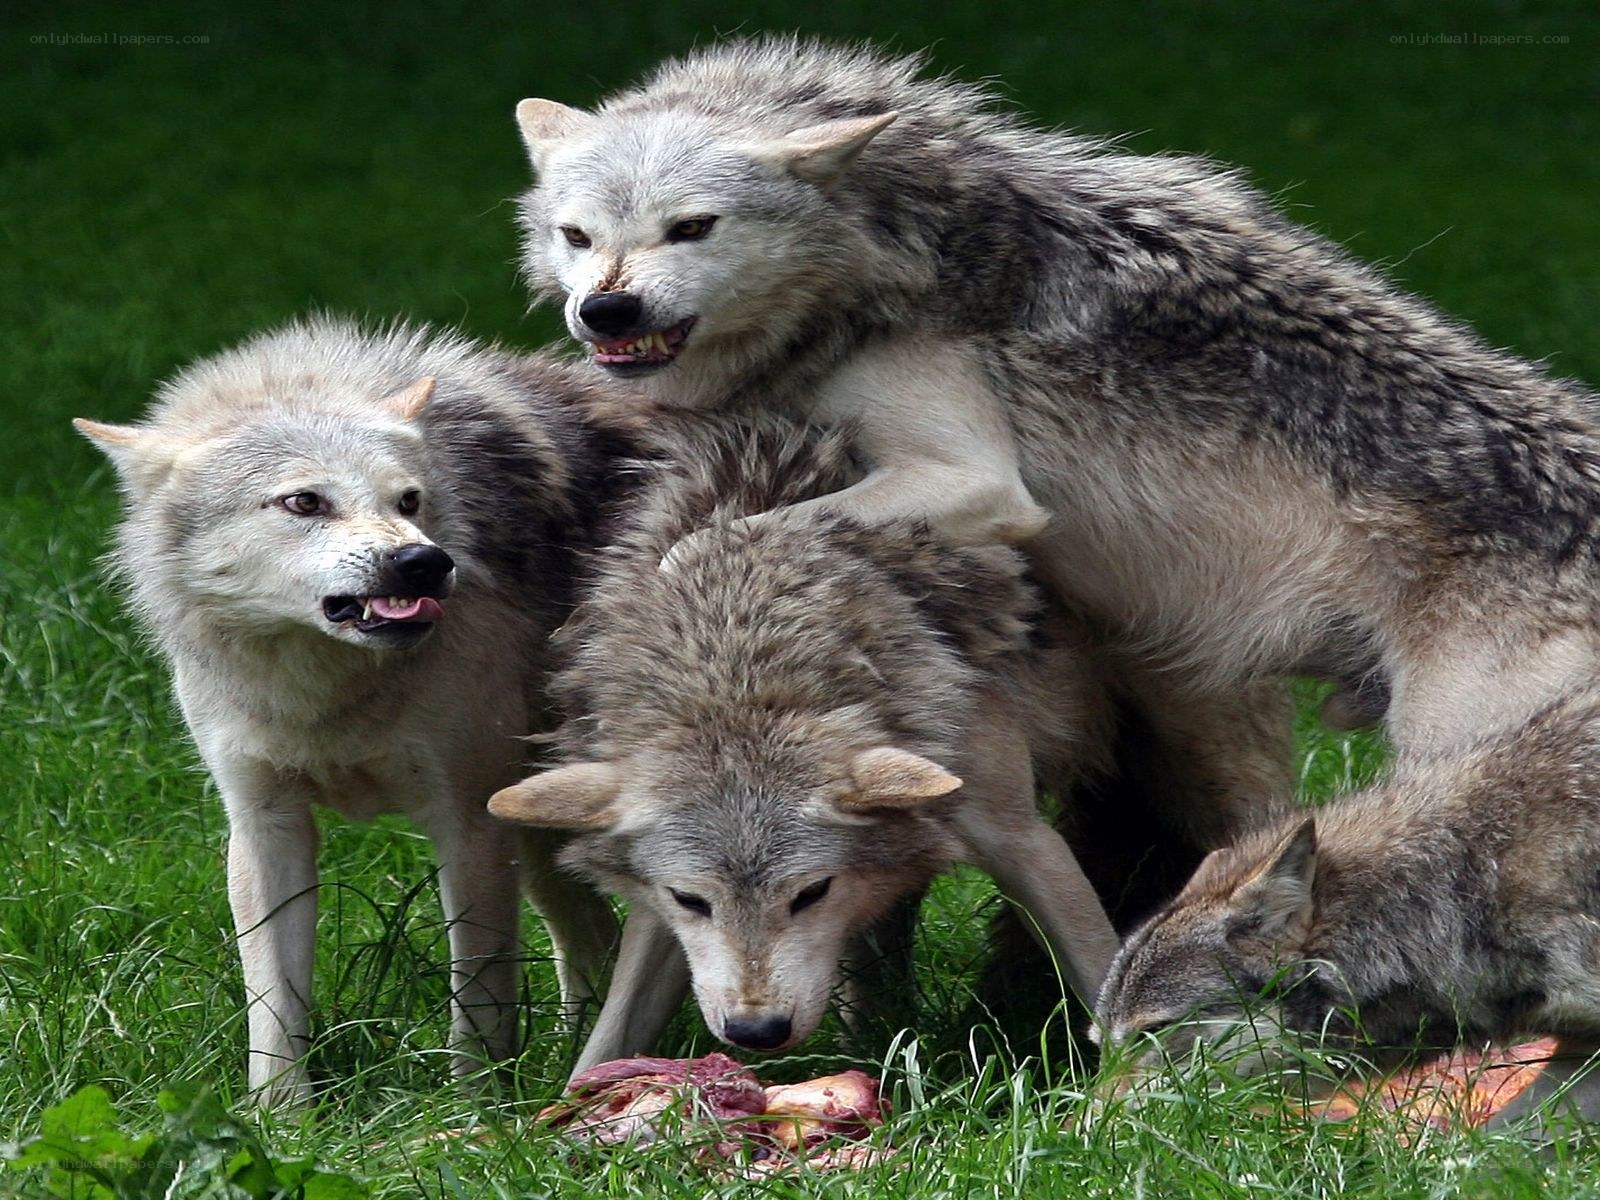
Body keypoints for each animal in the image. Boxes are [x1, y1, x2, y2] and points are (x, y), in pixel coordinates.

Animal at [76, 318, 621, 1106]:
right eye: (305, 502)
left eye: (409, 501)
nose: (424, 563)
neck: (324, 690)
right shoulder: (264, 826)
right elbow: (273, 1007)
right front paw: (280, 1118)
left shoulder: (468, 824)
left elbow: (479, 994)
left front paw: (473, 1111)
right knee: (595, 941)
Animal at [487, 412, 1140, 1073]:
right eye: (691, 900)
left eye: (811, 892)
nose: (757, 1031)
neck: (742, 660)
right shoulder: (655, 914)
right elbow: (608, 1039)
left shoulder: (1022, 840)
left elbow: (1104, 983)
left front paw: (1129, 1088)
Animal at [512, 37, 1600, 766]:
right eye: (577, 236)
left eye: (691, 228)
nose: (605, 309)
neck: (891, 245)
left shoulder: (974, 482)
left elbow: (711, 541)